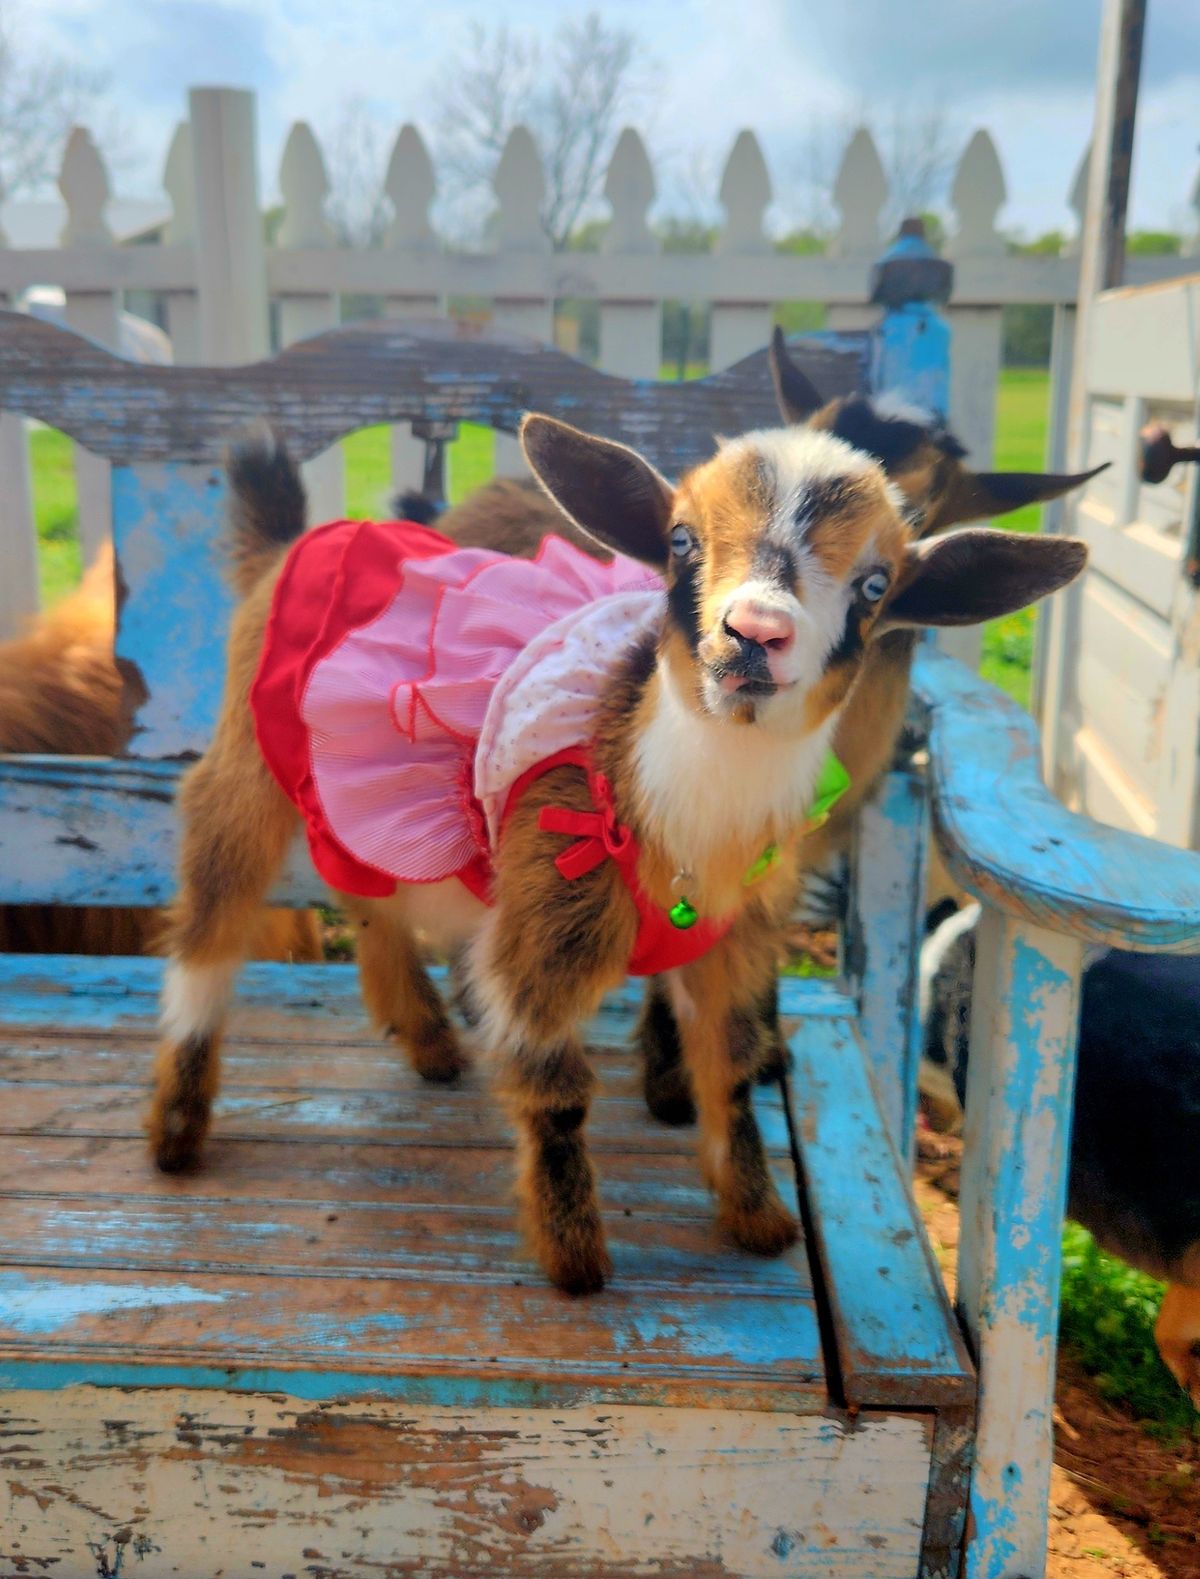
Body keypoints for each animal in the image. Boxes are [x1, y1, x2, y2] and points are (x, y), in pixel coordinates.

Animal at [150, 413, 1086, 1288]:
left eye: (877, 582)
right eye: (681, 540)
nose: (754, 631)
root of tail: (306, 539)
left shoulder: (734, 943)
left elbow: (732, 1070)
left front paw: (758, 1218)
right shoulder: (546, 927)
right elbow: (557, 1092)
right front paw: (575, 1262)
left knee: (365, 892)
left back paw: (427, 1038)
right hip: (247, 756)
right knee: (213, 908)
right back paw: (176, 1129)